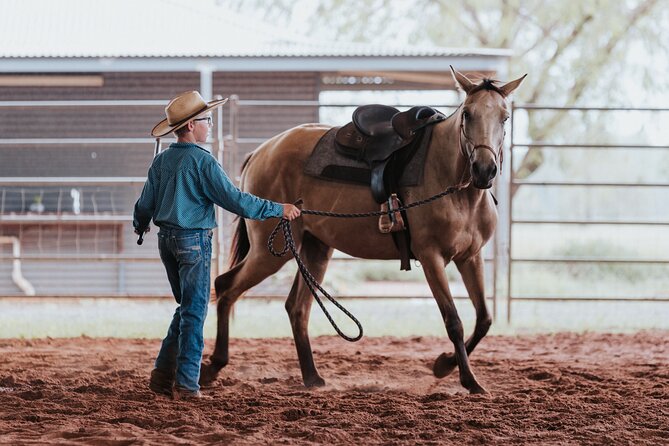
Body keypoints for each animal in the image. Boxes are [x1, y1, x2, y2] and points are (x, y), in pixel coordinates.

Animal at [201, 67, 524, 394]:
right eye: (468, 114)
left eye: (505, 117)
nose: (484, 169)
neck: (453, 183)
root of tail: (261, 152)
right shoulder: (431, 256)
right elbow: (454, 321)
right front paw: (467, 379)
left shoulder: (470, 257)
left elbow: (484, 318)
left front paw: (446, 364)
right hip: (269, 253)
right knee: (227, 287)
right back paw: (213, 365)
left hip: (315, 248)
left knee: (296, 307)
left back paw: (312, 377)